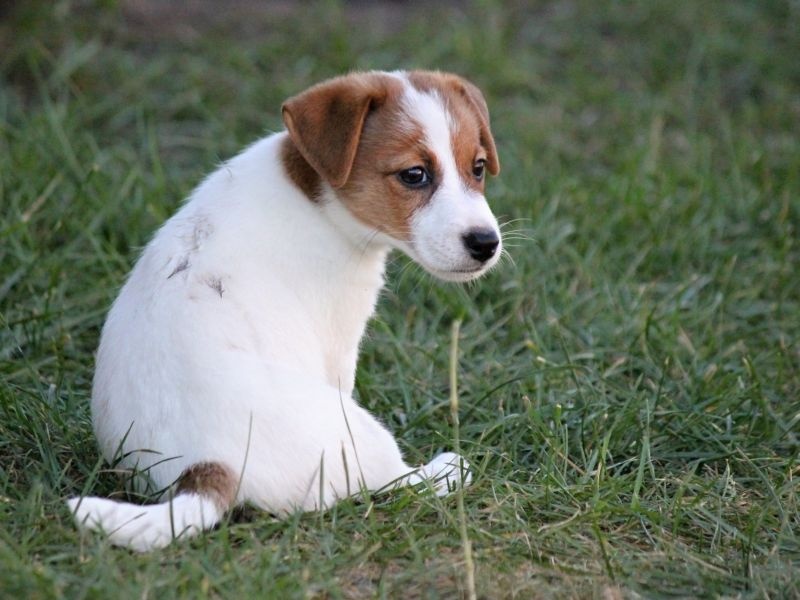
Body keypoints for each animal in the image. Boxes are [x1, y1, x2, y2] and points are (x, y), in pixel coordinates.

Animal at [72, 68, 504, 552]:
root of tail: (206, 466)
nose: (486, 243)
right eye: (414, 175)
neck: (318, 195)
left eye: (478, 168)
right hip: (358, 431)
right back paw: (445, 470)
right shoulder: (339, 344)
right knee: (392, 484)